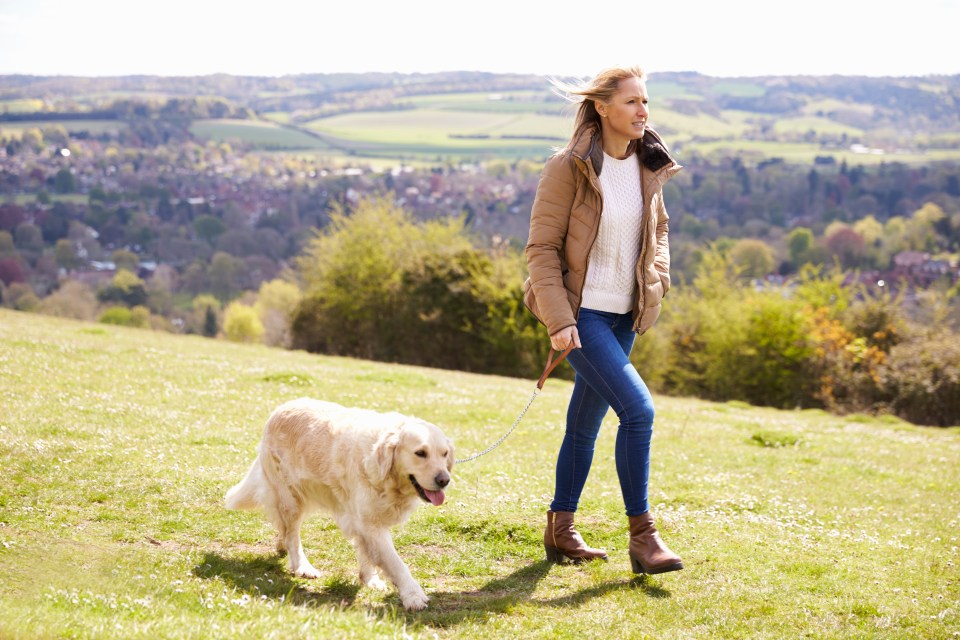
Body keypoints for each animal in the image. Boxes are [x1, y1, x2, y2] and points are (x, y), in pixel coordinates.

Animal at [225, 398, 454, 612]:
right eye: (420, 453)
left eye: (444, 454)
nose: (444, 480)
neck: (386, 477)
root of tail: (281, 408)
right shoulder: (369, 523)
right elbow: (396, 563)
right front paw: (413, 595)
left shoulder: (364, 520)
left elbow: (367, 553)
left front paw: (369, 579)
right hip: (291, 498)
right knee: (292, 535)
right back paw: (303, 566)